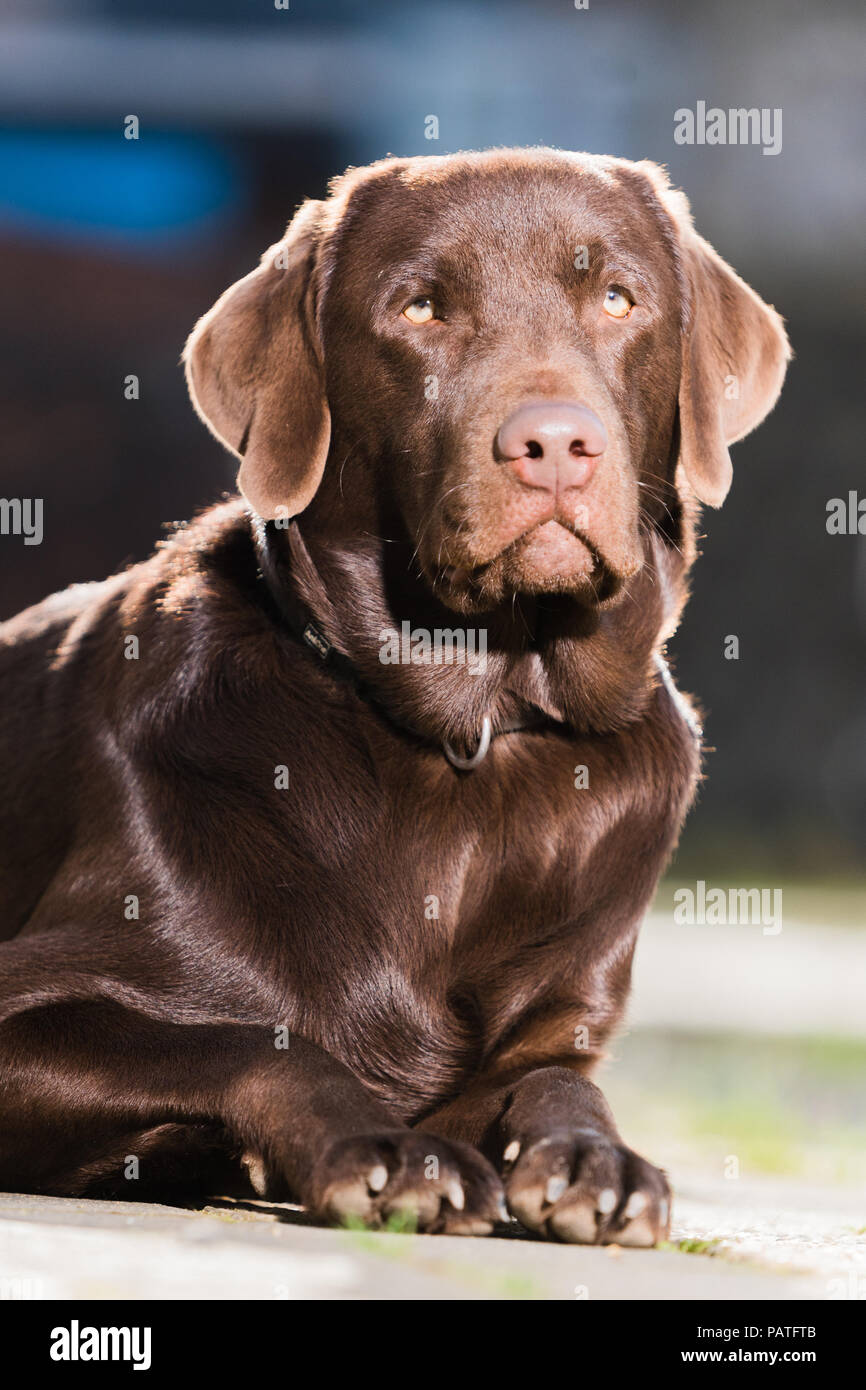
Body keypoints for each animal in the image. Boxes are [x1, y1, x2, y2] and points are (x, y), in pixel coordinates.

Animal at [0, 154, 783, 1251]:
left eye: (618, 299)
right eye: (421, 308)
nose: (555, 444)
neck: (480, 723)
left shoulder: (554, 1027)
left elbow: (555, 1079)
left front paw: (598, 1160)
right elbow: (253, 1039)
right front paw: (387, 1149)